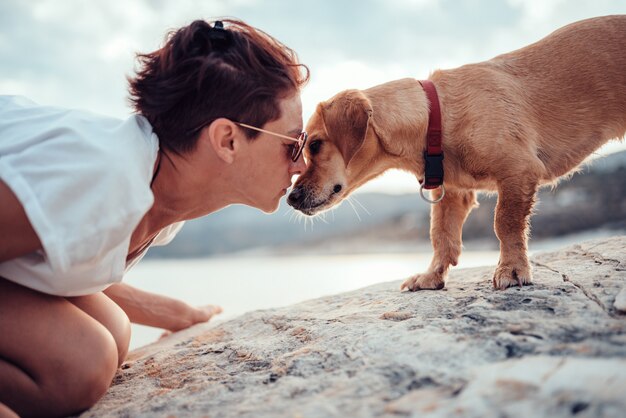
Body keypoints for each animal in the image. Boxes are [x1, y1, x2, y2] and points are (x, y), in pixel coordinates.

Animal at [288, 16, 624, 290]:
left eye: (314, 145)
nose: (290, 198)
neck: (438, 115)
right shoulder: (453, 193)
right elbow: (442, 236)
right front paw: (431, 277)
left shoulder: (518, 172)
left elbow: (504, 223)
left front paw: (512, 269)